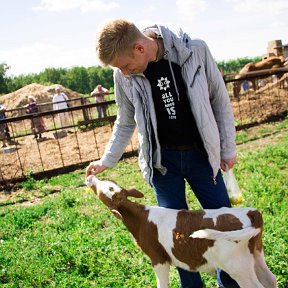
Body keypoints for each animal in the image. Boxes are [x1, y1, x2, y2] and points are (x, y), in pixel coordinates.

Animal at [85, 176, 276, 288]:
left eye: (101, 190)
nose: (90, 177)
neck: (141, 219)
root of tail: (250, 212)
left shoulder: (158, 259)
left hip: (238, 266)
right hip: (256, 254)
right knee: (270, 279)